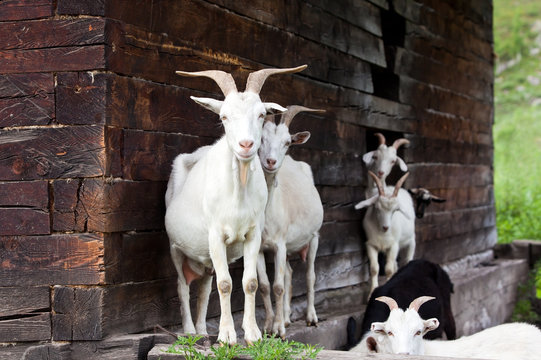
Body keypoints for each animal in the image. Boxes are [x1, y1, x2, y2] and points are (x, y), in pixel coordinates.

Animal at [163, 64, 308, 344]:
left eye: (261, 114)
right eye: (224, 117)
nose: (246, 145)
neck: (237, 193)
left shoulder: (253, 236)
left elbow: (250, 283)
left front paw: (252, 334)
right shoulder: (215, 235)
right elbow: (225, 284)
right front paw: (227, 336)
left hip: (205, 258)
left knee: (204, 287)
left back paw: (202, 331)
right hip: (175, 247)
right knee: (182, 285)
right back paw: (189, 332)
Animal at [255, 104, 322, 338]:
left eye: (287, 142)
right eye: (261, 139)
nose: (271, 162)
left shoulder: (280, 244)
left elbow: (278, 286)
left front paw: (278, 330)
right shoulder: (259, 247)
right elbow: (265, 285)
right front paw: (268, 326)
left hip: (314, 237)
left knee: (310, 275)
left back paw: (311, 318)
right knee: (290, 274)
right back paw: (285, 317)